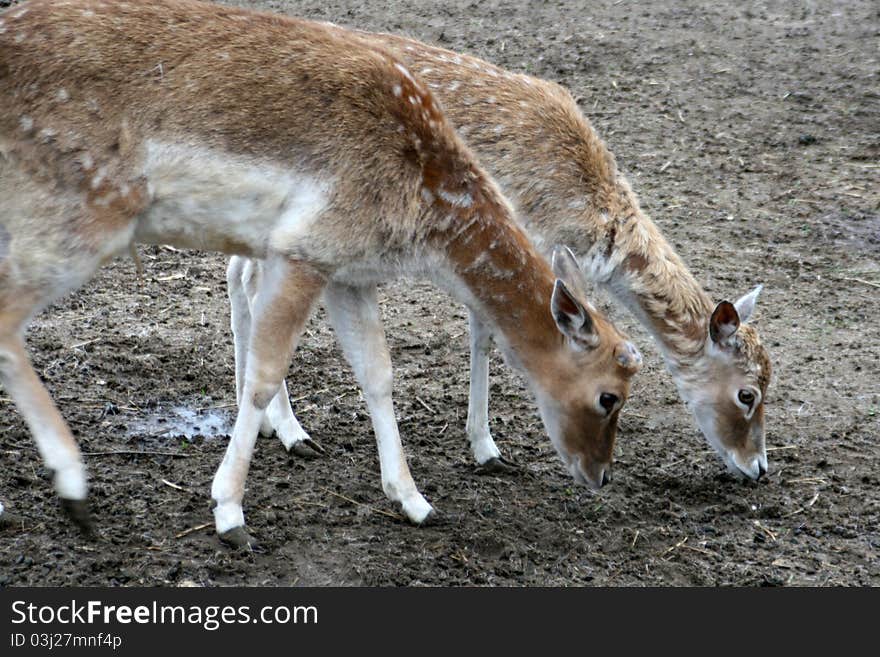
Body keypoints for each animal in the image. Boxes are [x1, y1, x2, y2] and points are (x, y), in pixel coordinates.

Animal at [0, 0, 640, 544]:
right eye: (608, 396)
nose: (601, 475)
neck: (421, 212)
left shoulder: (348, 273)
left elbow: (379, 375)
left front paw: (415, 502)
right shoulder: (304, 248)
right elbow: (262, 378)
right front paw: (229, 513)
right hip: (83, 210)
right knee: (8, 321)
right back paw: (75, 490)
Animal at [232, 24, 768, 482]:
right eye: (748, 394)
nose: (758, 468)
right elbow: (487, 335)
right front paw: (487, 448)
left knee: (240, 274)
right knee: (255, 285)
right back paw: (292, 431)